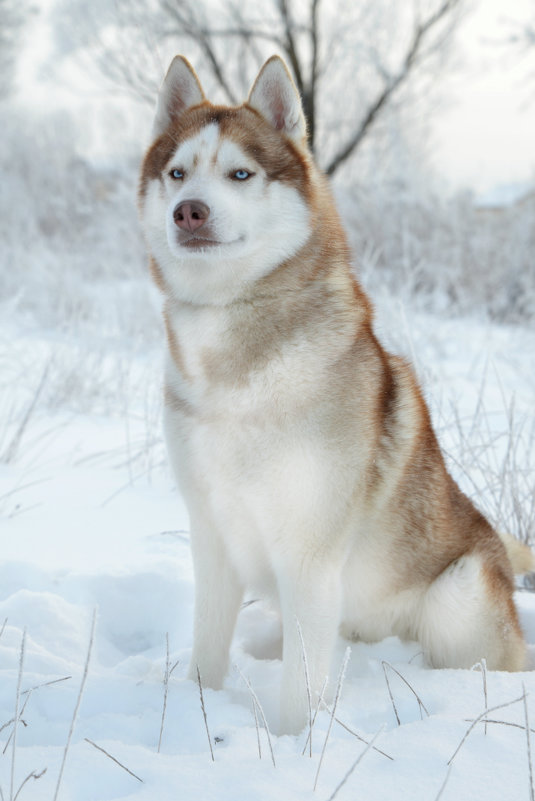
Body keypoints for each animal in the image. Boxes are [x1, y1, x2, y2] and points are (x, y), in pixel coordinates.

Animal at [139, 54, 532, 732]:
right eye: (178, 173)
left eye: (240, 173)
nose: (188, 211)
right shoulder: (212, 535)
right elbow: (207, 654)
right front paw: (198, 714)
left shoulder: (309, 555)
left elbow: (301, 691)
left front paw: (295, 745)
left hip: (453, 600)